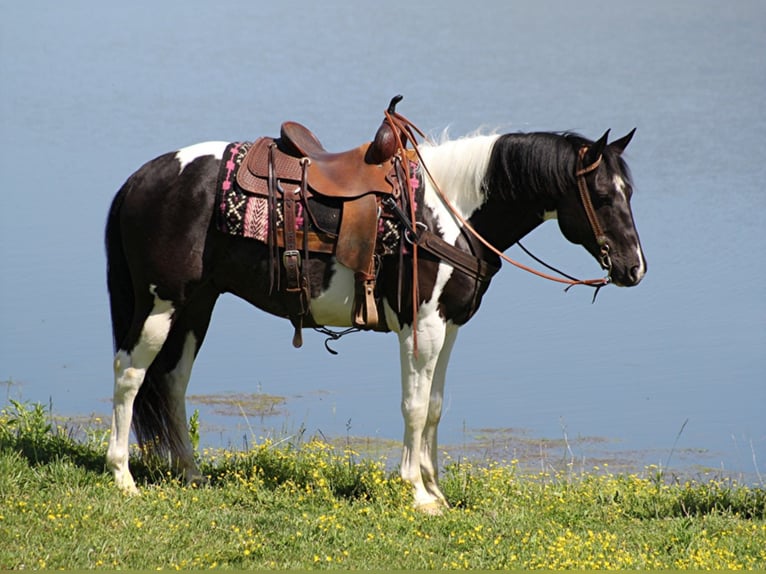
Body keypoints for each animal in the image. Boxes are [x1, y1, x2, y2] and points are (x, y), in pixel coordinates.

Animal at [105, 107, 648, 512]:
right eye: (603, 195)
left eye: (630, 192)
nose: (634, 268)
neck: (447, 214)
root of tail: (138, 179)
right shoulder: (420, 325)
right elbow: (414, 405)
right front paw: (418, 493)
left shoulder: (448, 325)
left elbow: (434, 406)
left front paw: (436, 490)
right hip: (160, 303)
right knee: (130, 374)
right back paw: (123, 477)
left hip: (197, 304)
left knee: (172, 382)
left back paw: (191, 473)